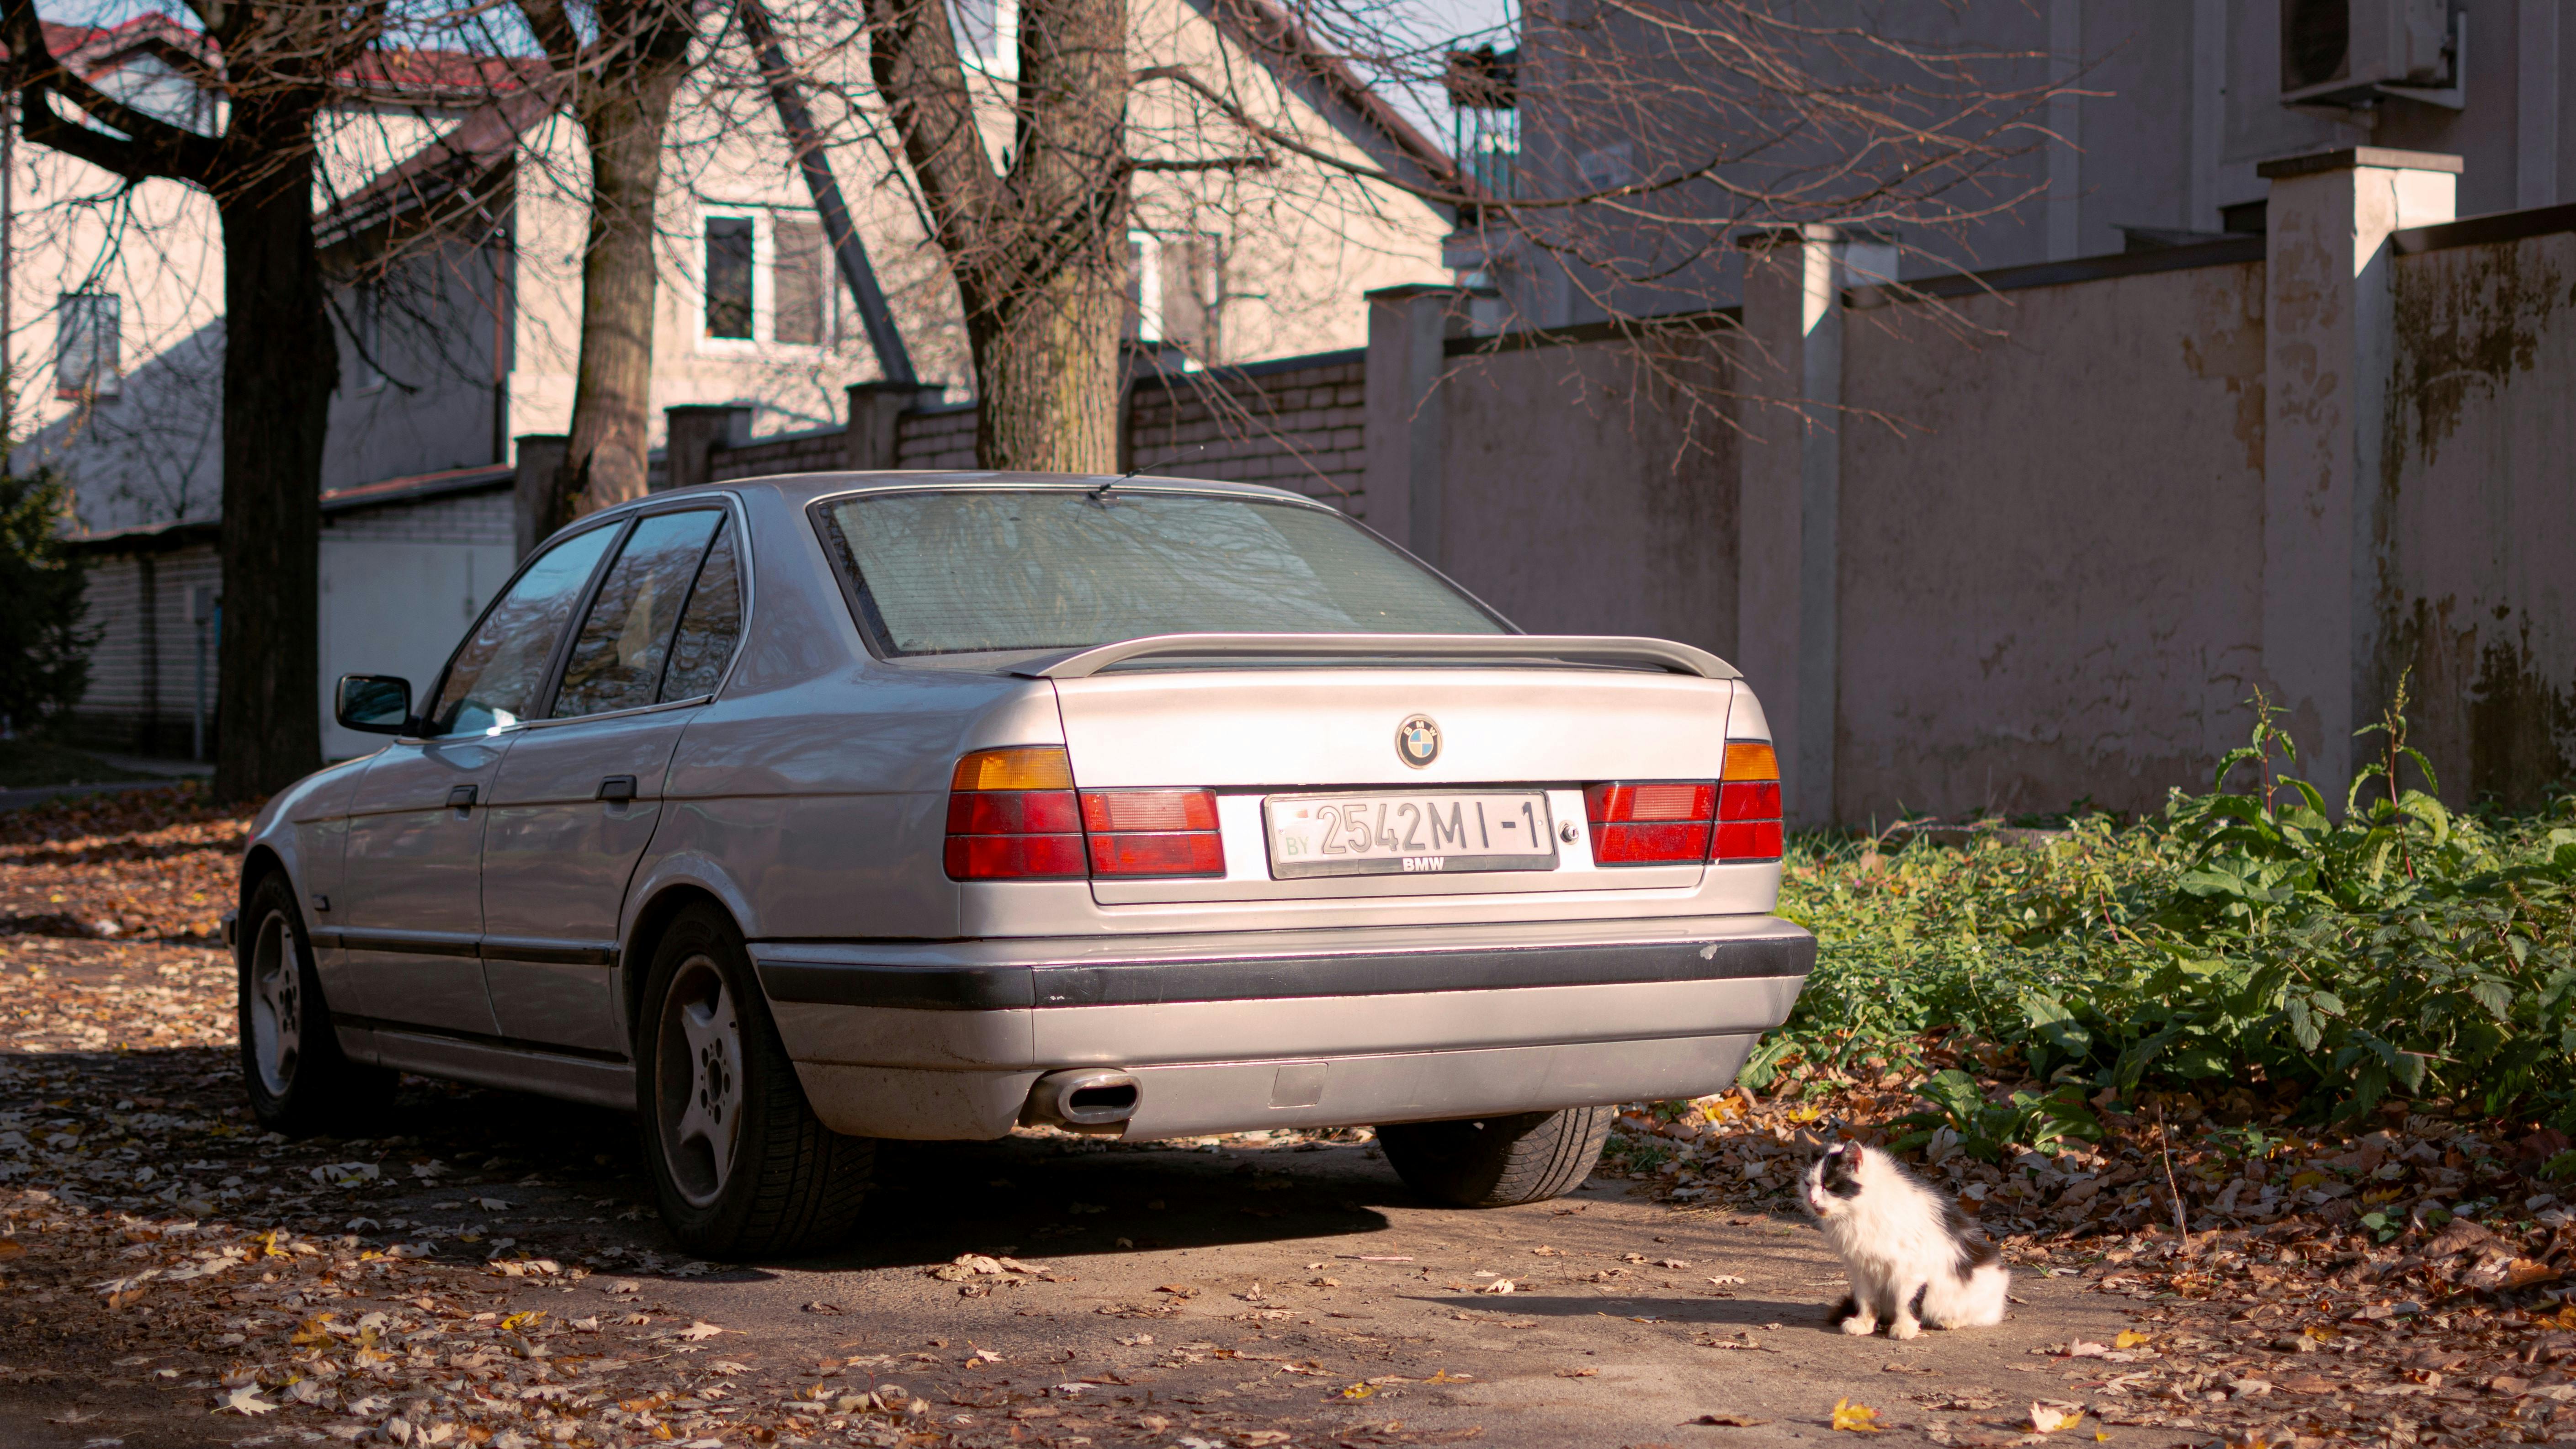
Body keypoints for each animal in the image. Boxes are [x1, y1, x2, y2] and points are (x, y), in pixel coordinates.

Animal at [1793, 1148, 2009, 1338]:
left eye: (1829, 1185)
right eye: (1807, 1184)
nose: (1812, 1199)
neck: (1857, 1216)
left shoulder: (1910, 1270)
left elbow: (1906, 1301)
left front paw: (1904, 1328)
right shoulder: (1862, 1269)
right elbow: (1867, 1300)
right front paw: (1864, 1324)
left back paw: (1948, 1321)